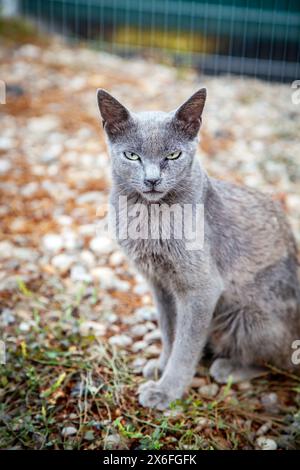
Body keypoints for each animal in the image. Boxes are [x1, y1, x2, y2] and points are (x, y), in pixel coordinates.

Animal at [96, 87, 300, 408]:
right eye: (131, 155)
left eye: (173, 154)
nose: (152, 179)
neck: (151, 216)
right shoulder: (159, 283)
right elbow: (169, 332)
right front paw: (161, 366)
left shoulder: (201, 289)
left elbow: (186, 345)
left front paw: (166, 390)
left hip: (245, 317)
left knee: (278, 360)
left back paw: (228, 367)